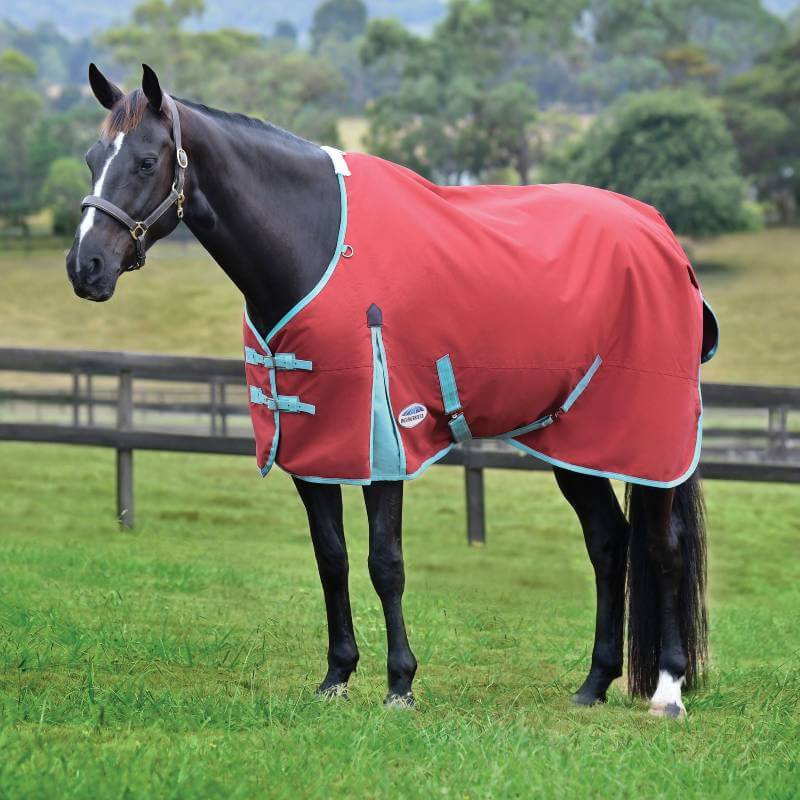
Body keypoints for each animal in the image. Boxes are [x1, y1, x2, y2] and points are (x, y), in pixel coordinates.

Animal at [66, 64, 710, 719]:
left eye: (147, 161)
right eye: (92, 158)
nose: (84, 266)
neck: (315, 243)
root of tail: (660, 234)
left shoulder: (383, 443)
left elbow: (386, 563)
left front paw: (400, 683)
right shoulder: (314, 448)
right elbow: (332, 557)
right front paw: (337, 675)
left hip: (648, 443)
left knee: (665, 546)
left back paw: (668, 689)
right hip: (574, 441)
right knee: (608, 542)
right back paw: (594, 683)